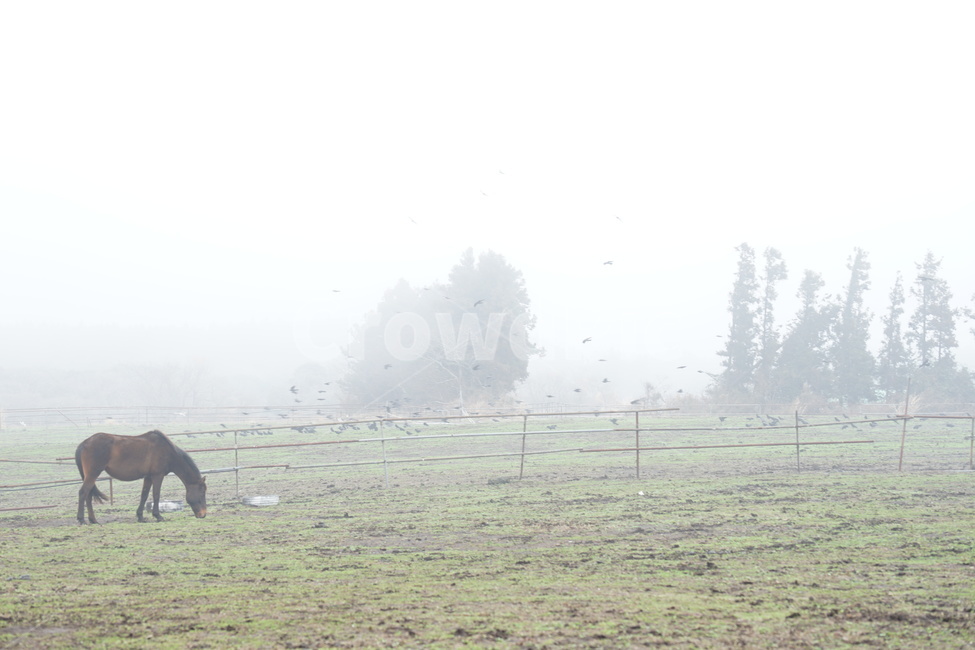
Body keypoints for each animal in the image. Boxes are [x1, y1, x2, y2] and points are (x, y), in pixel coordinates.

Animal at [75, 430, 207, 524]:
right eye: (202, 492)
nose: (203, 514)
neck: (168, 452)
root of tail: (84, 443)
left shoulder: (148, 477)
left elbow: (144, 495)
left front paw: (140, 517)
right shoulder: (157, 476)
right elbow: (156, 495)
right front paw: (158, 516)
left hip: (89, 476)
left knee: (88, 494)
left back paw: (93, 520)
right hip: (93, 474)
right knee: (83, 492)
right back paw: (82, 519)